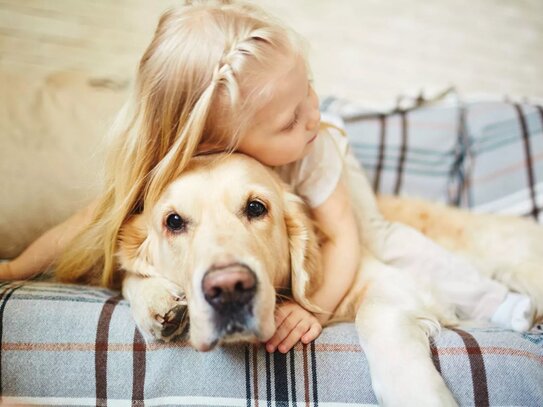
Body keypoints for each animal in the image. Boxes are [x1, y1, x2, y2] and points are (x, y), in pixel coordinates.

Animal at [119, 154, 543, 407]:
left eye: (256, 208)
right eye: (174, 221)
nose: (228, 290)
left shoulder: (391, 280)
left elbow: (373, 317)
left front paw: (418, 394)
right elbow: (127, 275)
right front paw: (159, 302)